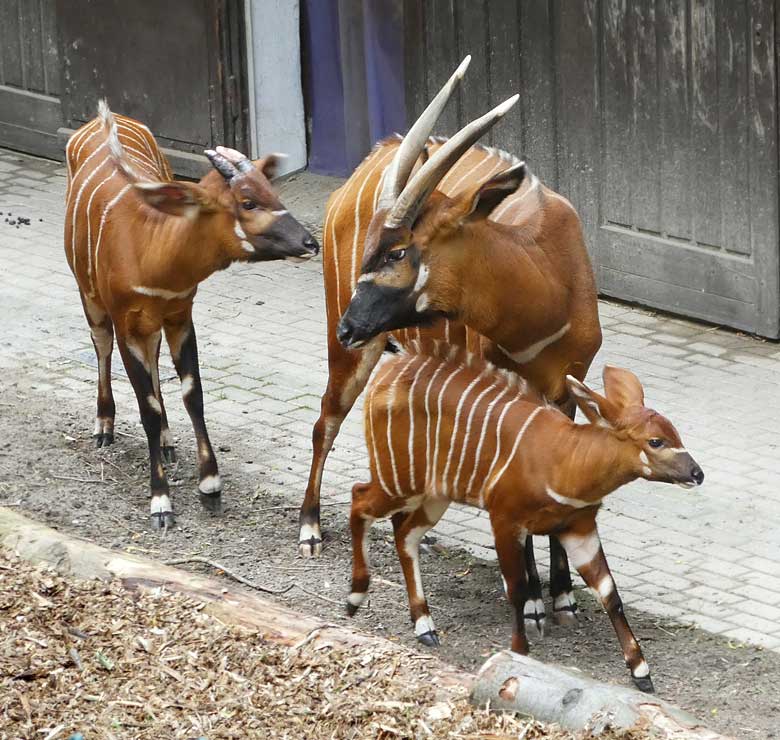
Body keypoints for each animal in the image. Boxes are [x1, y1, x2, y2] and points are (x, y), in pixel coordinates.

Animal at [65, 101, 318, 528]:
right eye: (248, 201)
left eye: (271, 190)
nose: (310, 243)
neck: (153, 250)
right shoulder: (127, 322)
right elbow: (147, 407)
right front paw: (161, 502)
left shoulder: (180, 315)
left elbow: (192, 393)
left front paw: (210, 488)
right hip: (90, 295)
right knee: (101, 344)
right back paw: (103, 427)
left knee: (153, 363)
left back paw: (168, 443)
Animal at [302, 56, 600, 636]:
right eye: (376, 249)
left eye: (397, 251)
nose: (351, 324)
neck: (549, 283)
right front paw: (533, 600)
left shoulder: (566, 390)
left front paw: (563, 594)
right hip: (351, 354)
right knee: (325, 420)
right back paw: (309, 528)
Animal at [350, 348, 704, 692]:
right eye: (655, 441)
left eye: (675, 433)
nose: (697, 473)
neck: (567, 461)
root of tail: (386, 371)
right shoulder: (505, 520)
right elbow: (517, 589)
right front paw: (519, 653)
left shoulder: (579, 527)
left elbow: (609, 592)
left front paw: (641, 672)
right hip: (397, 481)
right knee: (359, 499)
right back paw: (355, 599)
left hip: (434, 495)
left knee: (405, 534)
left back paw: (425, 627)